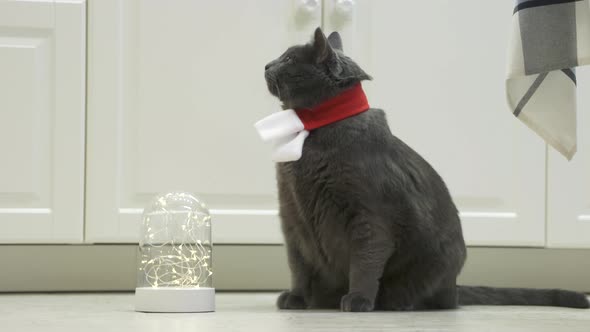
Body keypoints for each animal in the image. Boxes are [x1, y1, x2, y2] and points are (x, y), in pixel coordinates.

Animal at [266, 27, 588, 312]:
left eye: (289, 59)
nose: (267, 64)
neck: (314, 129)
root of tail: (454, 288)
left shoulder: (368, 217)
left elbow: (365, 261)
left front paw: (358, 300)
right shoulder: (292, 219)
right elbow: (298, 266)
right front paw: (296, 298)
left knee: (430, 298)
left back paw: (394, 303)